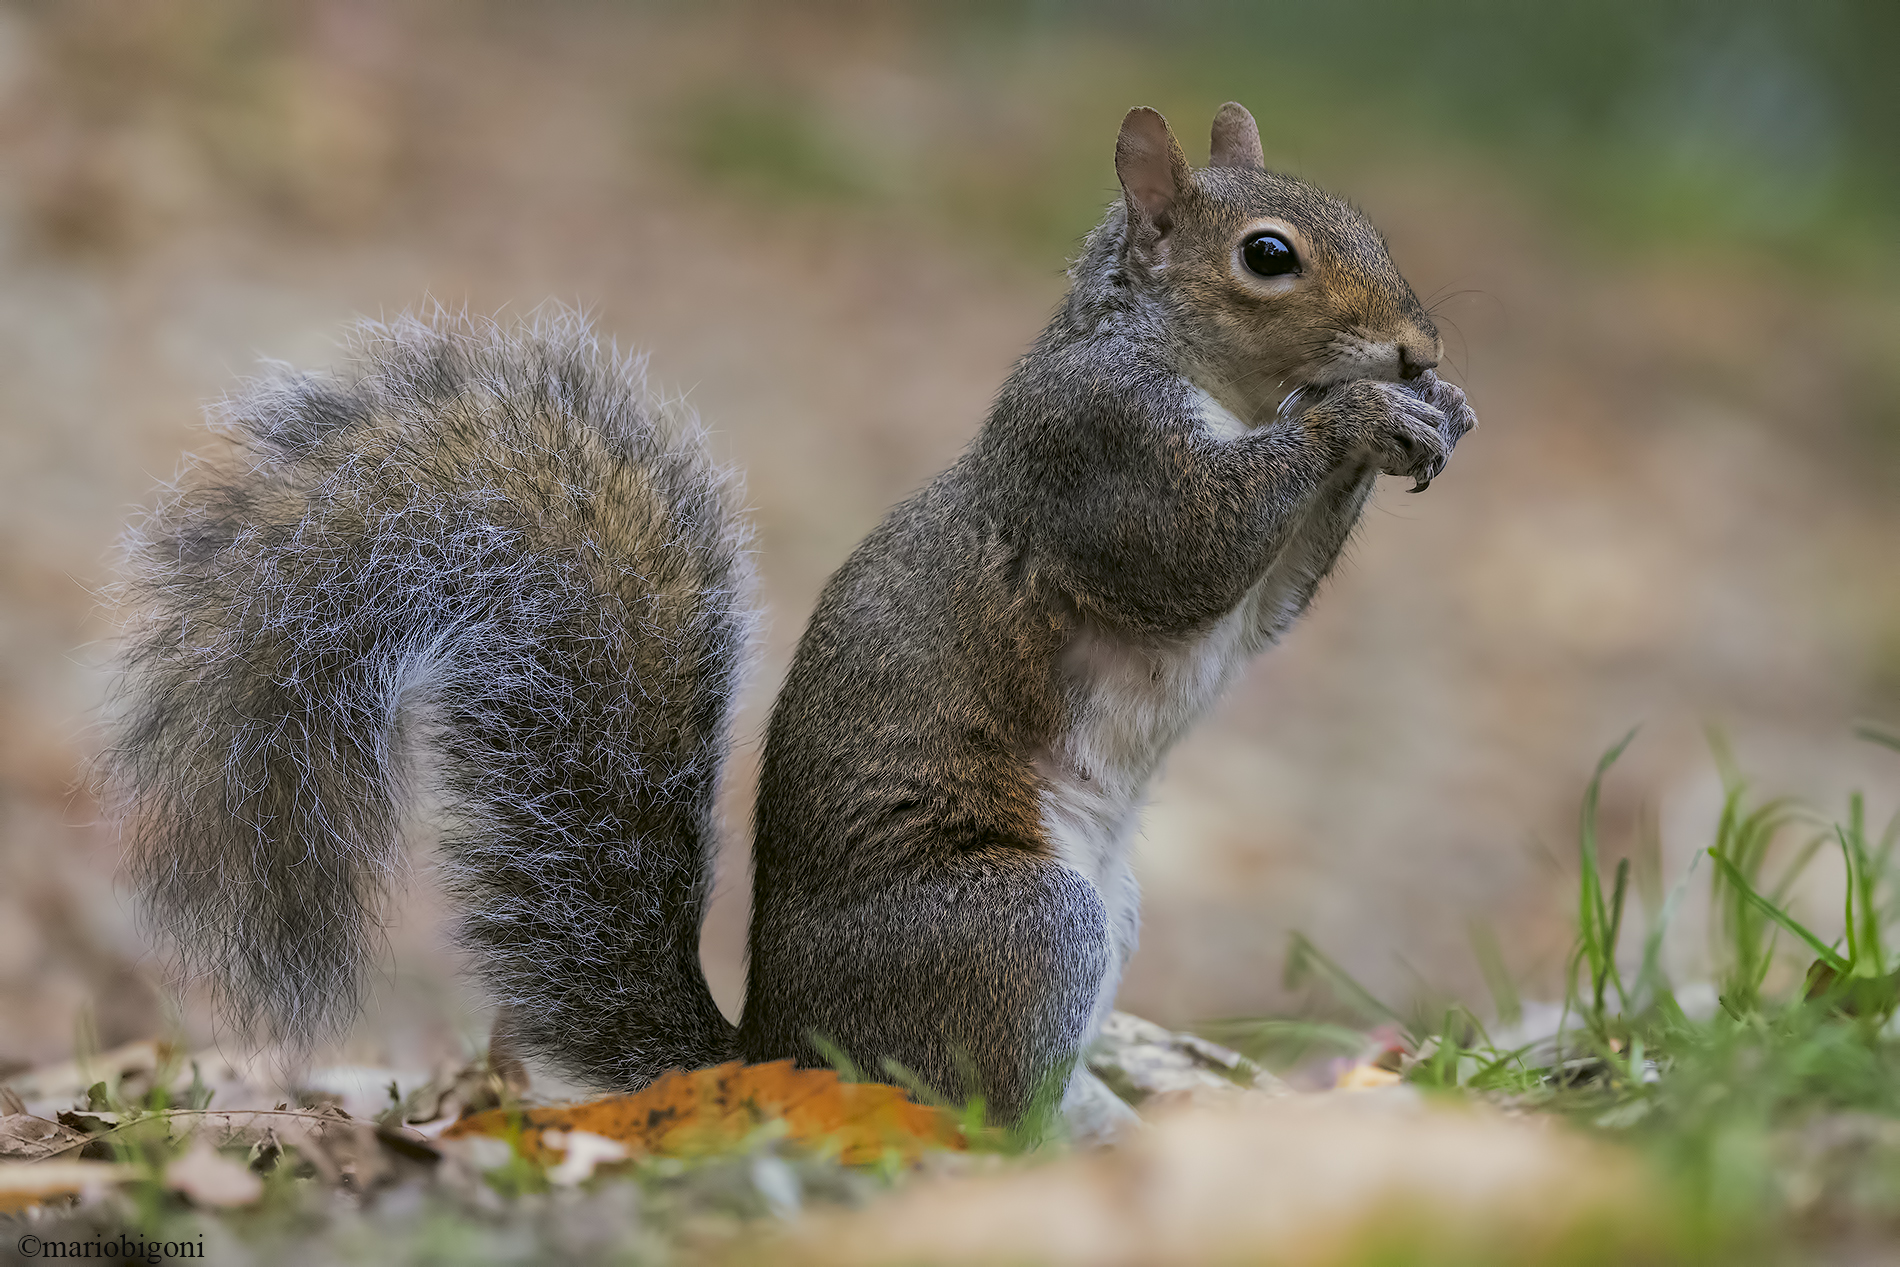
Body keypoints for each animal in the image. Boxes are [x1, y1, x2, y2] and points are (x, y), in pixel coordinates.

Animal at [106, 103, 1475, 1129]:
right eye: (1268, 256)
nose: (1418, 348)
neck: (1206, 381)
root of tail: (782, 1056)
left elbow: (1268, 604)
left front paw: (1433, 413)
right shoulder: (1096, 455)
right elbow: (1191, 550)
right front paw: (1355, 413)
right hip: (1021, 926)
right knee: (977, 1108)